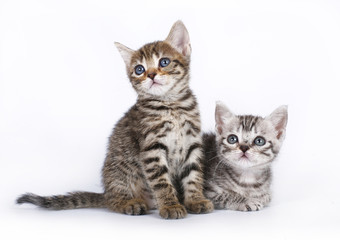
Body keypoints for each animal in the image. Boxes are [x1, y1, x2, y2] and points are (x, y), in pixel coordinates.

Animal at [16, 21, 212, 219]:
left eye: (164, 62)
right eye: (139, 69)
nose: (150, 75)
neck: (171, 105)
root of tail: (106, 192)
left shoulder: (192, 144)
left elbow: (193, 176)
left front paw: (195, 200)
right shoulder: (151, 149)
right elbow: (161, 181)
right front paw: (171, 205)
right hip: (119, 172)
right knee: (114, 200)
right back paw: (130, 203)